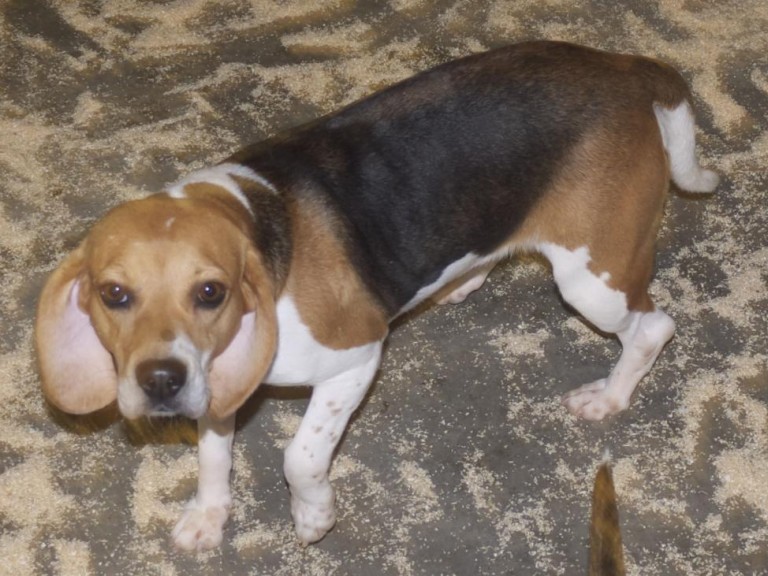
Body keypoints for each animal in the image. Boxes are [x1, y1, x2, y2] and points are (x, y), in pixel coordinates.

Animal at [36, 40, 720, 548]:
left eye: (211, 292)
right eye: (113, 294)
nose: (160, 381)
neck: (257, 224)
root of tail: (624, 66)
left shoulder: (357, 358)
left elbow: (300, 457)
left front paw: (312, 515)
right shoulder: (216, 379)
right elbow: (212, 454)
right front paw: (209, 515)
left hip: (590, 282)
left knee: (653, 328)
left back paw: (610, 396)